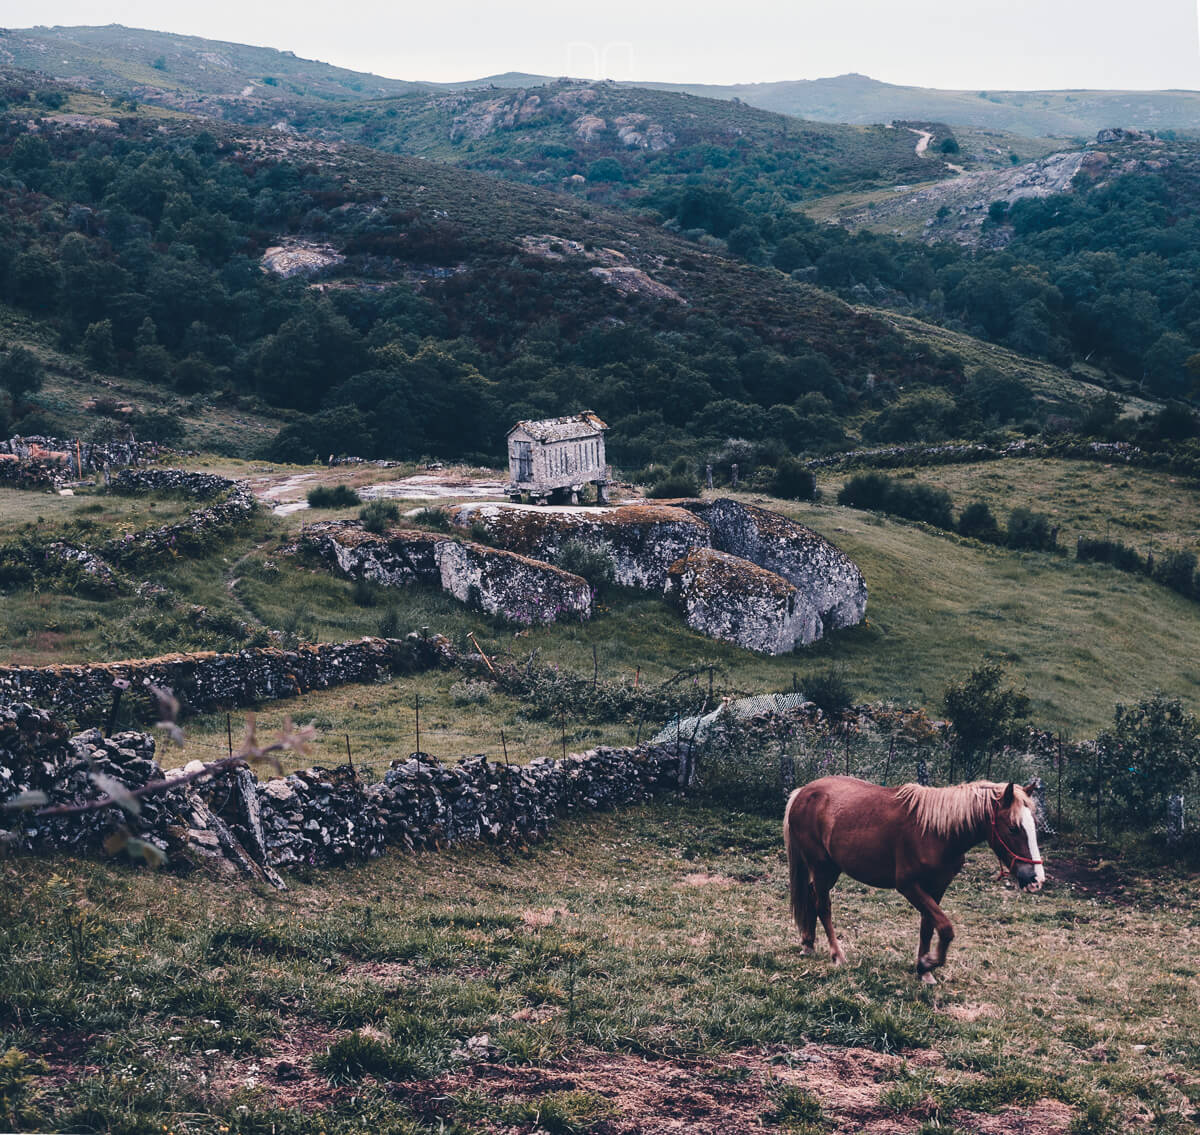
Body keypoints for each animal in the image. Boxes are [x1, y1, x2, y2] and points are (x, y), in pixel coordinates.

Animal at [782, 772, 1046, 979]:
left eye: (1034, 826)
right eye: (1012, 828)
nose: (1036, 880)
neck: (936, 832)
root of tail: (802, 793)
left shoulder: (937, 888)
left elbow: (928, 927)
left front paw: (924, 969)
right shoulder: (909, 886)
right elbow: (945, 928)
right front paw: (928, 963)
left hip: (831, 869)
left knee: (812, 898)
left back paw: (808, 943)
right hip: (821, 866)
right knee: (823, 906)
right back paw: (837, 955)